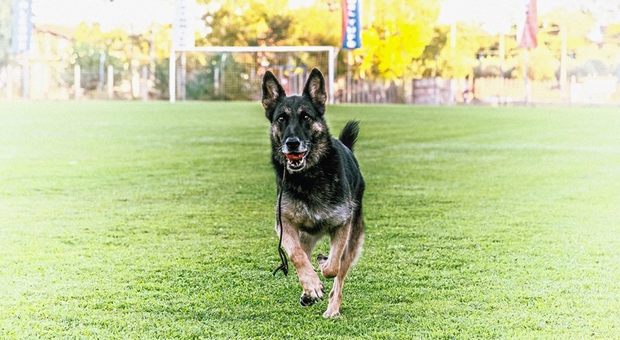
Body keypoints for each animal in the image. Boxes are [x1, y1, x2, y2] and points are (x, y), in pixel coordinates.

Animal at [260, 67, 366, 318]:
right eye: (281, 118)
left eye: (306, 117)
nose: (292, 143)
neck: (309, 176)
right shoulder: (285, 225)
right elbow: (297, 256)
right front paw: (311, 285)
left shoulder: (342, 226)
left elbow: (334, 266)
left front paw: (324, 266)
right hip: (306, 235)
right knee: (304, 253)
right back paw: (308, 291)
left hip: (352, 239)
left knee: (340, 276)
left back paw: (333, 309)